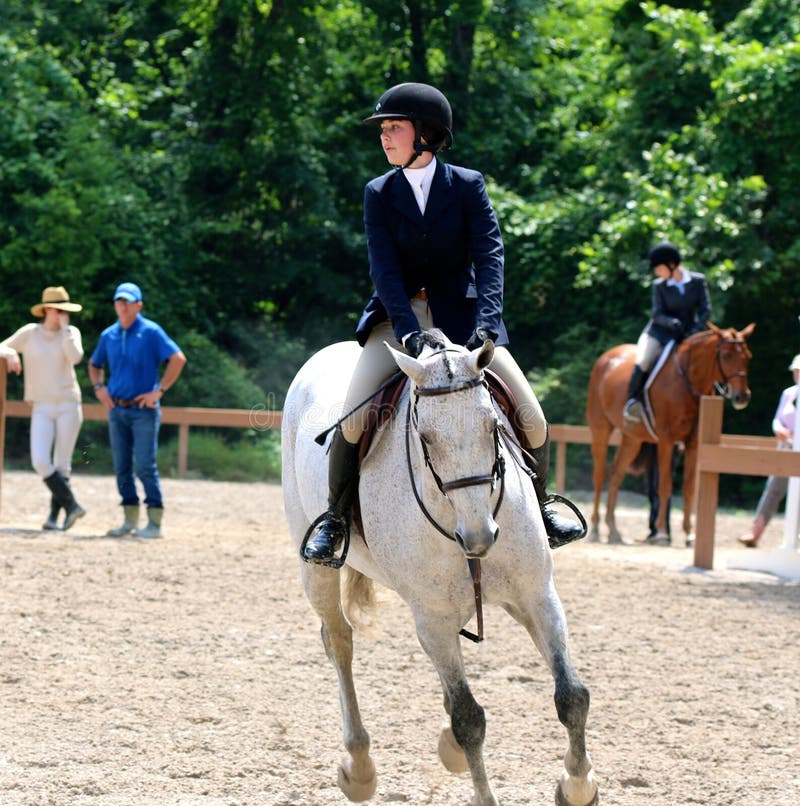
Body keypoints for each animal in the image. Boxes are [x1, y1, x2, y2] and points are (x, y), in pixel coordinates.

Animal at [584, 326, 752, 548]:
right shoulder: (666, 441)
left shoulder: (693, 444)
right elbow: (665, 486)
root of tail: (606, 357)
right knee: (599, 475)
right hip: (601, 429)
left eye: (748, 357)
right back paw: (595, 528)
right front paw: (663, 533)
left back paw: (613, 530)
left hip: (633, 439)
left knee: (616, 474)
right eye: (726, 355)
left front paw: (689, 534)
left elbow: (688, 489)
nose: (742, 397)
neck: (688, 383)